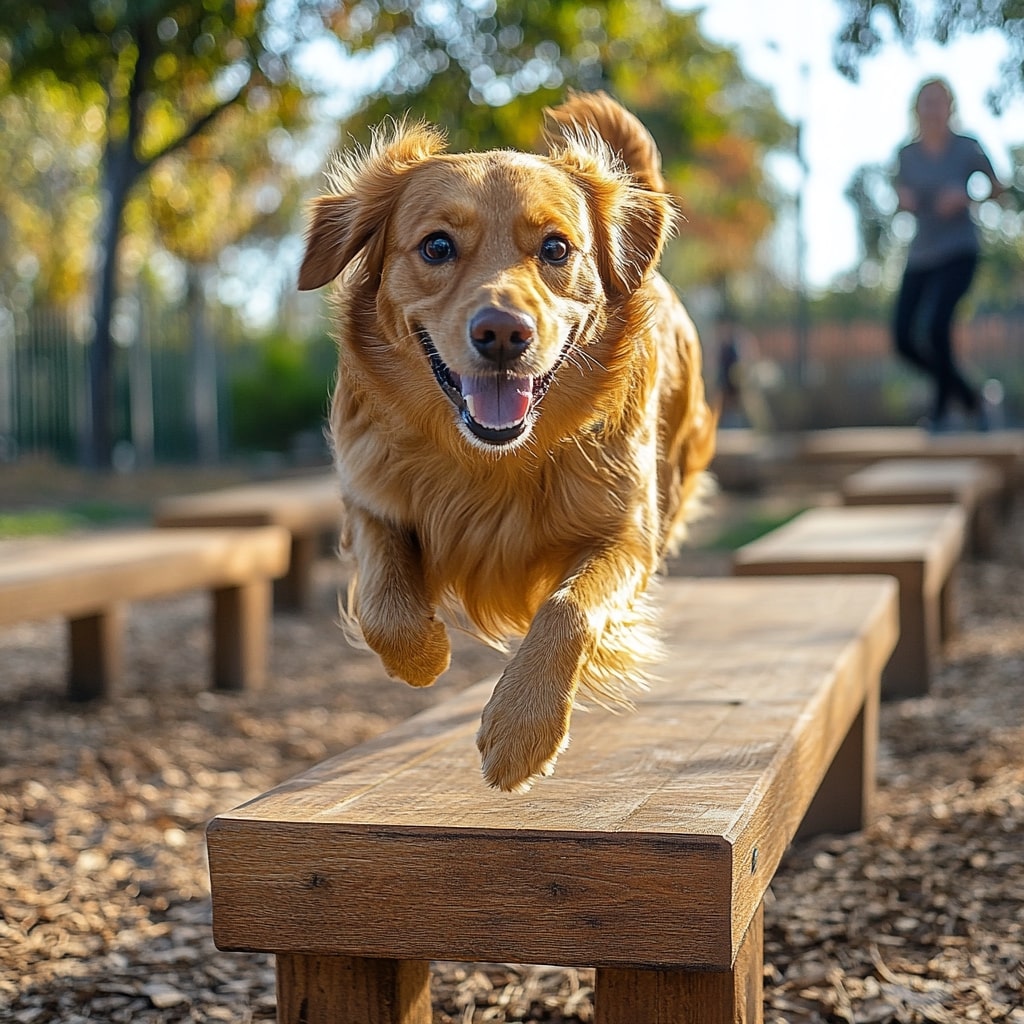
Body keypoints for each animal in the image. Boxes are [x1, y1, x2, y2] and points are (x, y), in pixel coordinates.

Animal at [299, 90, 712, 790]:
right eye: (437, 246)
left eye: (556, 247)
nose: (502, 333)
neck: (493, 462)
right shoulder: (368, 498)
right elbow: (385, 604)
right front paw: (423, 655)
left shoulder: (626, 534)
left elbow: (568, 608)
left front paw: (524, 729)